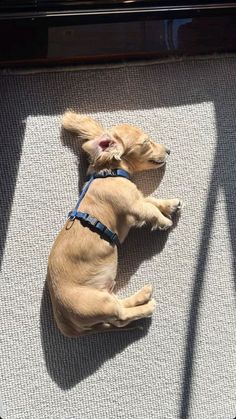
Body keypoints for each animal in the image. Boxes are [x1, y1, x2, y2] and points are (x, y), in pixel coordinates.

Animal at [47, 112, 182, 338]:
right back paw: (147, 306)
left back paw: (142, 295)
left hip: (105, 299)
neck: (110, 172)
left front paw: (171, 204)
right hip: (99, 303)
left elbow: (152, 200)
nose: (169, 151)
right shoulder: (134, 206)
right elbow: (151, 209)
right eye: (145, 142)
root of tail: (62, 319)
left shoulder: (137, 198)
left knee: (119, 311)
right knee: (121, 316)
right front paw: (164, 221)